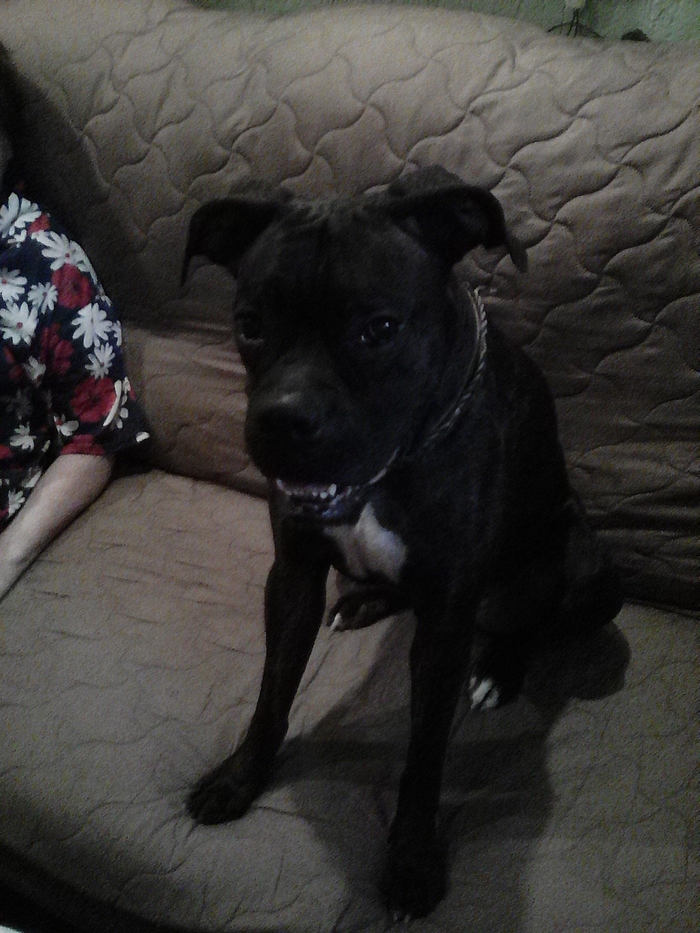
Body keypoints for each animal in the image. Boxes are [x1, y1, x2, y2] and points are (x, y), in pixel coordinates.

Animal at [182, 166, 622, 920]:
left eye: (380, 329)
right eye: (249, 324)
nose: (284, 419)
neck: (393, 469)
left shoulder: (445, 625)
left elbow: (424, 757)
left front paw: (413, 861)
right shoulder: (293, 577)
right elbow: (272, 693)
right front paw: (240, 777)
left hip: (590, 568)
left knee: (535, 616)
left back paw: (501, 667)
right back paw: (363, 601)